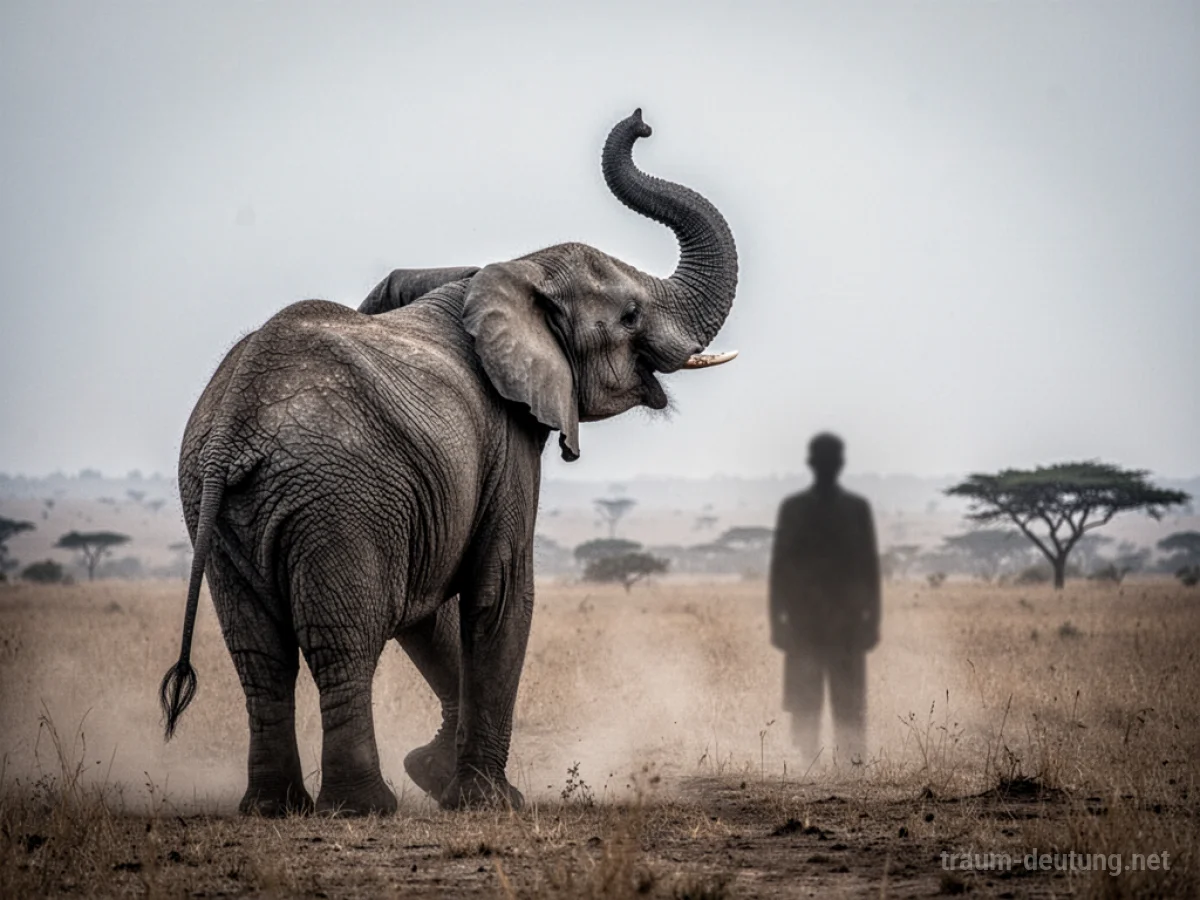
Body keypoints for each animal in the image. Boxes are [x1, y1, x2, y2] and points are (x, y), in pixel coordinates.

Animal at [159, 109, 739, 816]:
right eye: (629, 314)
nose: (642, 121)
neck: (510, 270)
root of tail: (232, 427)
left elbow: (423, 609)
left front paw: (434, 774)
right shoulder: (505, 438)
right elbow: (499, 591)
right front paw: (490, 800)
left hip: (216, 513)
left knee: (260, 656)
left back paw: (275, 808)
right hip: (338, 497)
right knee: (343, 644)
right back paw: (363, 807)